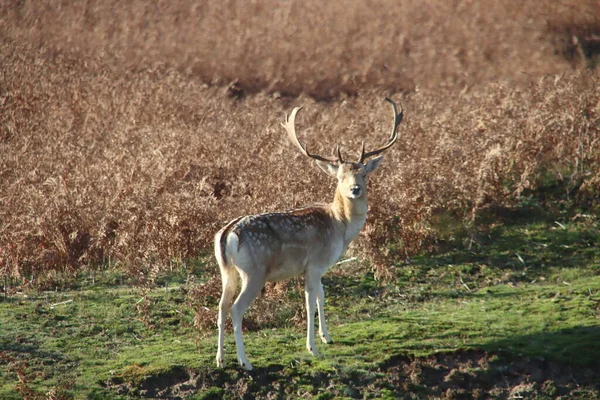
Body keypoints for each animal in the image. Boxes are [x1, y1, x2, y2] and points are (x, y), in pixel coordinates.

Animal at [214, 98, 404, 370]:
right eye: (340, 177)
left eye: (364, 173)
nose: (355, 189)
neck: (339, 226)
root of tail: (228, 233)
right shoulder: (314, 264)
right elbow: (309, 301)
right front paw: (312, 347)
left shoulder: (321, 267)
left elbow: (321, 297)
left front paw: (327, 337)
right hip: (254, 272)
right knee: (236, 309)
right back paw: (244, 361)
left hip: (226, 270)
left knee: (220, 307)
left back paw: (220, 359)